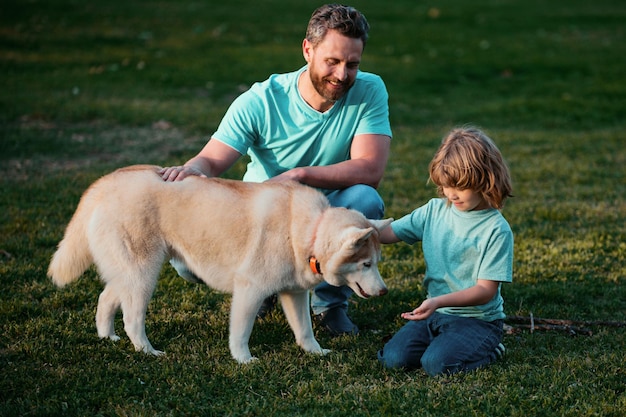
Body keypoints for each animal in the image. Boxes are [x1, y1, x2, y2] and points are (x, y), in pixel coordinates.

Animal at [48, 165, 390, 360]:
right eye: (366, 265)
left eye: (376, 262)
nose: (385, 291)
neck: (309, 229)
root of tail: (107, 181)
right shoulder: (250, 290)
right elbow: (241, 332)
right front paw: (243, 360)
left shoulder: (294, 293)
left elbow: (305, 330)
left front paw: (316, 353)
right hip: (143, 274)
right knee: (132, 319)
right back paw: (147, 351)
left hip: (129, 273)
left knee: (106, 298)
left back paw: (108, 337)